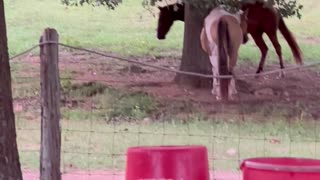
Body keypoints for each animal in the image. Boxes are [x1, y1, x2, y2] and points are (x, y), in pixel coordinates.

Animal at [156, 1, 304, 73]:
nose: (159, 35)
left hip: (270, 31)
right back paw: (258, 71)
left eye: (162, 18)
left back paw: (282, 72)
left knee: (277, 48)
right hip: (257, 34)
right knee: (264, 49)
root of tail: (274, 8)